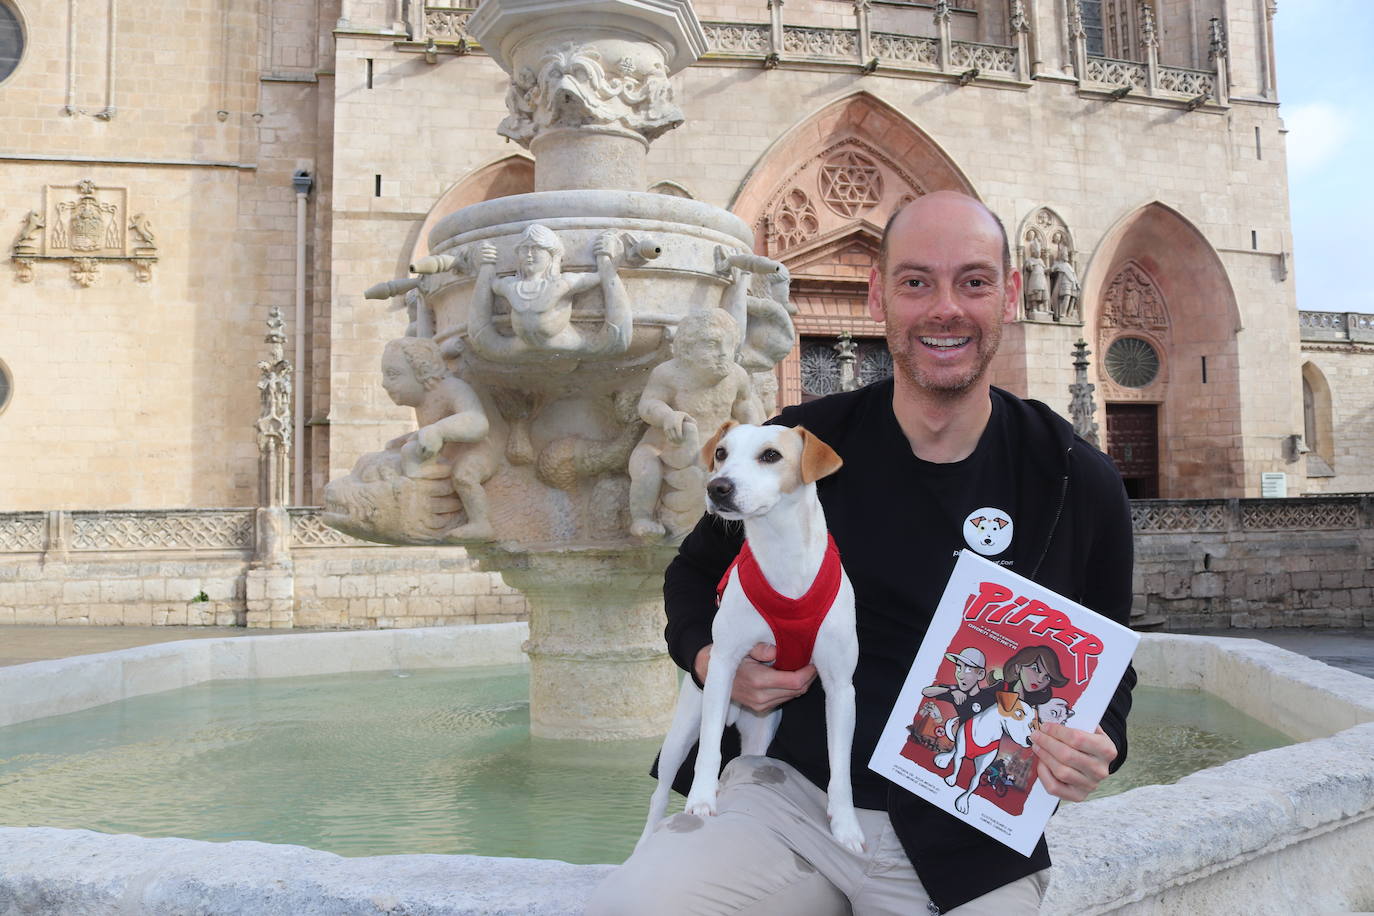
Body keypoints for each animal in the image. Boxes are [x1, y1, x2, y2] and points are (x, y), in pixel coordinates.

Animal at [640, 420, 857, 851]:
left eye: (771, 455)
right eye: (721, 453)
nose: (717, 487)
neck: (782, 557)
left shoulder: (841, 687)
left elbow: (840, 767)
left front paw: (846, 826)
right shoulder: (723, 665)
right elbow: (709, 751)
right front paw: (701, 801)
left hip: (762, 732)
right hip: (685, 725)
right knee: (661, 791)